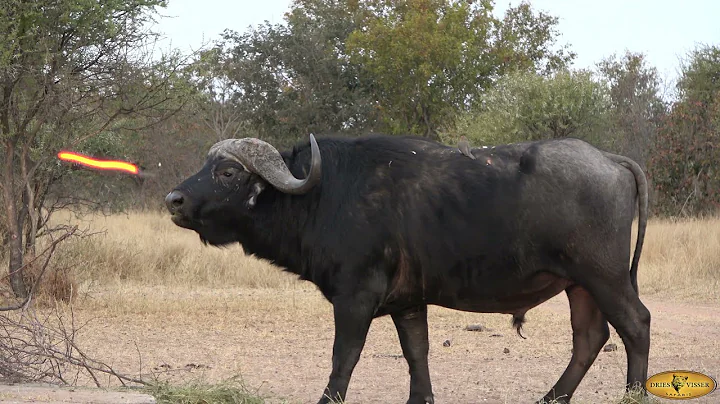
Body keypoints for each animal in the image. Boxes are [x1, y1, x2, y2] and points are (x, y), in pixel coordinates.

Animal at [165, 133, 650, 404]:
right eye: (207, 166)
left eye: (228, 172)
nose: (174, 199)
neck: (323, 195)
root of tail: (610, 159)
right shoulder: (409, 304)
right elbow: (417, 353)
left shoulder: (355, 298)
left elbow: (344, 357)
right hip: (579, 285)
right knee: (590, 337)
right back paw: (550, 398)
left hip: (604, 277)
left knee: (635, 324)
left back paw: (635, 394)